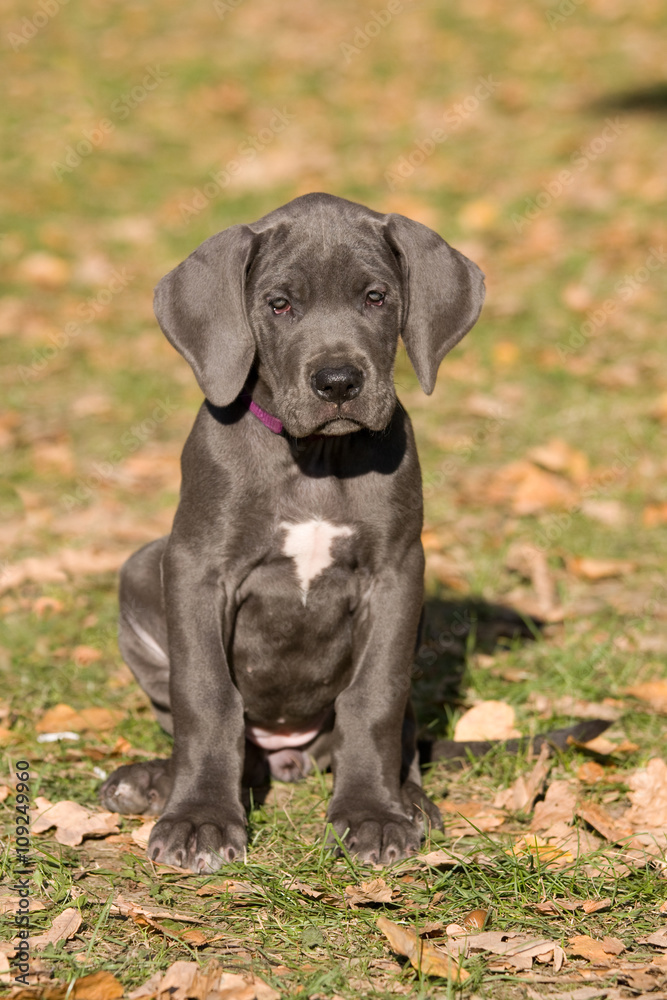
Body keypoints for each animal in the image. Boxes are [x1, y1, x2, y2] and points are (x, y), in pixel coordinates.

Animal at [99, 191, 486, 872]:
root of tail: (288, 753)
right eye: (280, 304)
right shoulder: (197, 568)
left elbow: (374, 699)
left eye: (375, 297)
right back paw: (151, 781)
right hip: (141, 567)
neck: (315, 459)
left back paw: (410, 799)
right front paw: (200, 818)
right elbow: (206, 695)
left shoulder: (396, 574)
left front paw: (373, 813)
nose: (338, 382)